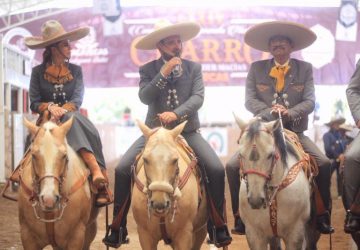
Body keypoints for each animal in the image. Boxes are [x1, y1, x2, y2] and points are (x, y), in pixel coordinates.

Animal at [131, 120, 207, 249]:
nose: (159, 203)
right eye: (145, 159)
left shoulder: (184, 234)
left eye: (175, 160)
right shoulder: (145, 234)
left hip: (200, 231)